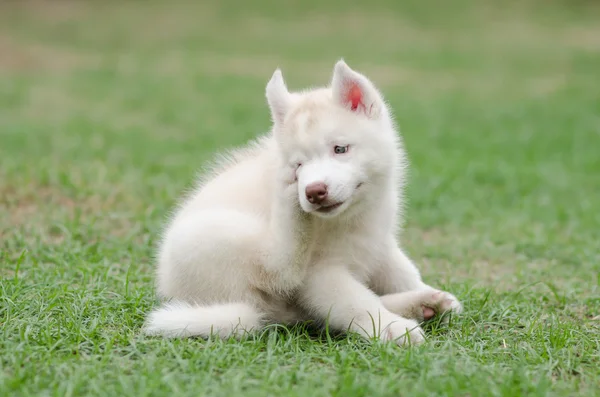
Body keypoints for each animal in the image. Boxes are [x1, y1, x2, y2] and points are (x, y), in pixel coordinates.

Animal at [143, 58, 462, 344]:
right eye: (298, 165)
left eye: (340, 149)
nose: (313, 191)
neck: (352, 216)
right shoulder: (320, 275)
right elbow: (356, 302)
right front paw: (392, 328)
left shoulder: (378, 240)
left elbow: (402, 271)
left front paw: (425, 294)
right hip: (213, 234)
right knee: (280, 271)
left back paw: (423, 303)